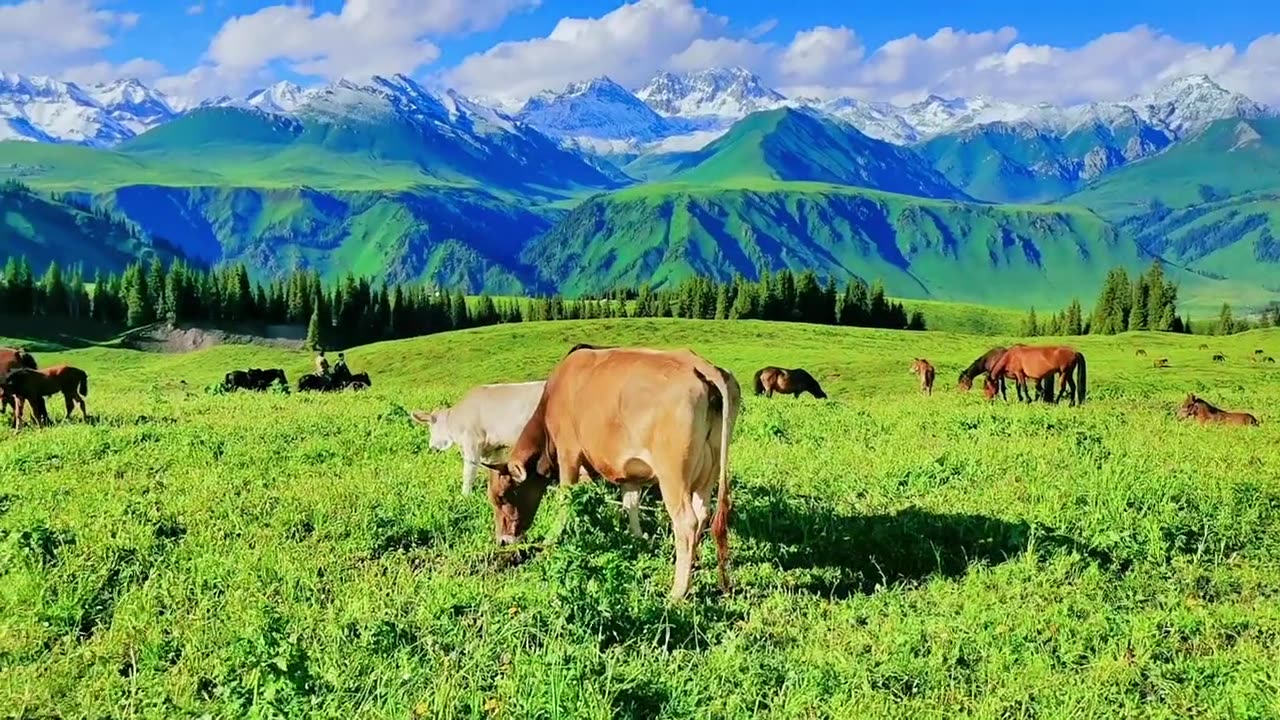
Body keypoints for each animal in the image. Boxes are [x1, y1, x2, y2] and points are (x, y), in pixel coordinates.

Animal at [409, 381, 545, 491]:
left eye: (431, 428)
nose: (432, 447)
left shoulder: (472, 441)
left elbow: (469, 473)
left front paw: (465, 496)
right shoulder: (495, 448)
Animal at [481, 345, 742, 599]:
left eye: (503, 497)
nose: (502, 541)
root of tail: (698, 364)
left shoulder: (569, 453)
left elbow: (567, 501)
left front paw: (551, 539)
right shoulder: (630, 472)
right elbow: (630, 505)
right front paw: (637, 539)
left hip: (673, 477)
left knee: (687, 523)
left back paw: (678, 591)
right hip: (709, 471)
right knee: (702, 513)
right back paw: (693, 565)